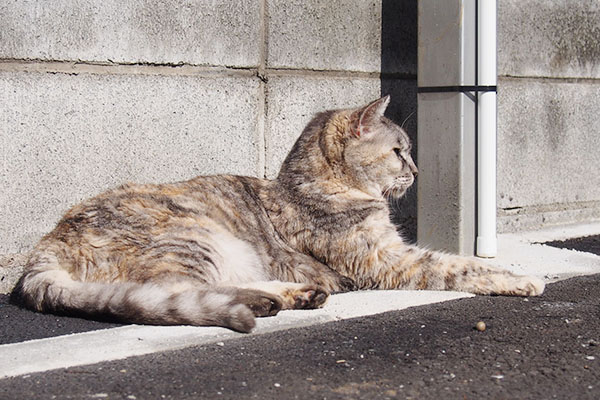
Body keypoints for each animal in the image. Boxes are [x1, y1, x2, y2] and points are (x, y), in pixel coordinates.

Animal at [10, 96, 544, 332]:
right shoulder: (389, 261)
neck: (322, 184)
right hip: (194, 236)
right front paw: (521, 278)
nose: (416, 171)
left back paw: (294, 295)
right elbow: (458, 265)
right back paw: (275, 300)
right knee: (178, 292)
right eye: (399, 151)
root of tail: (46, 247)